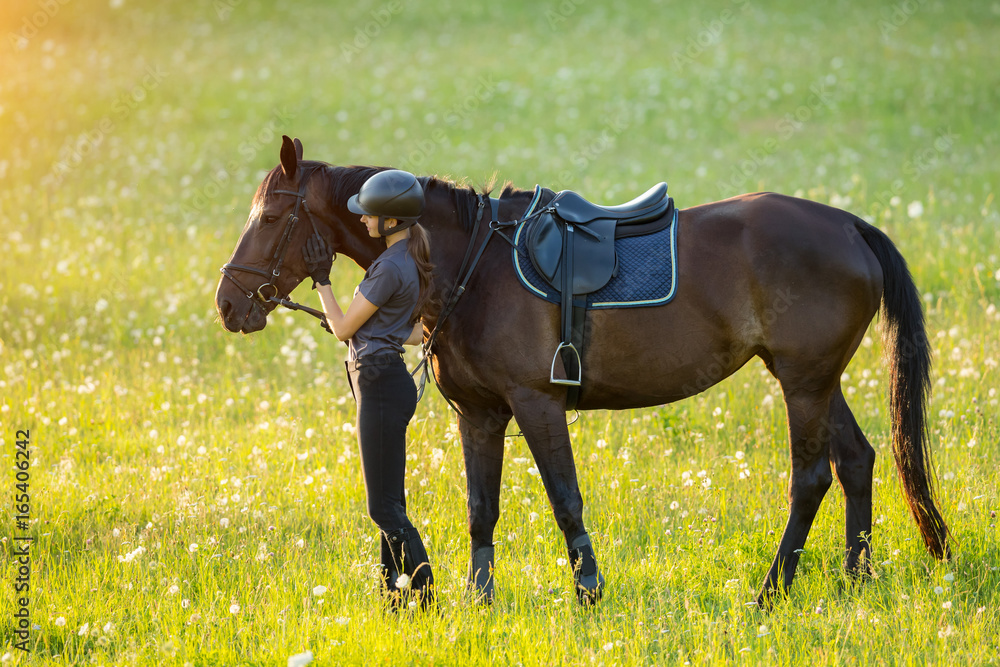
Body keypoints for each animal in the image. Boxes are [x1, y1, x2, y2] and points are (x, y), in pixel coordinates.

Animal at [215, 138, 948, 608]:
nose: (227, 302)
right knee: (857, 460)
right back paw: (856, 580)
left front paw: (589, 593)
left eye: (272, 216)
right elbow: (482, 508)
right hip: (816, 379)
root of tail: (849, 226)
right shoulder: (480, 414)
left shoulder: (536, 403)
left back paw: (772, 591)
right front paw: (480, 600)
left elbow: (565, 498)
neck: (468, 262)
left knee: (812, 476)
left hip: (802, 382)